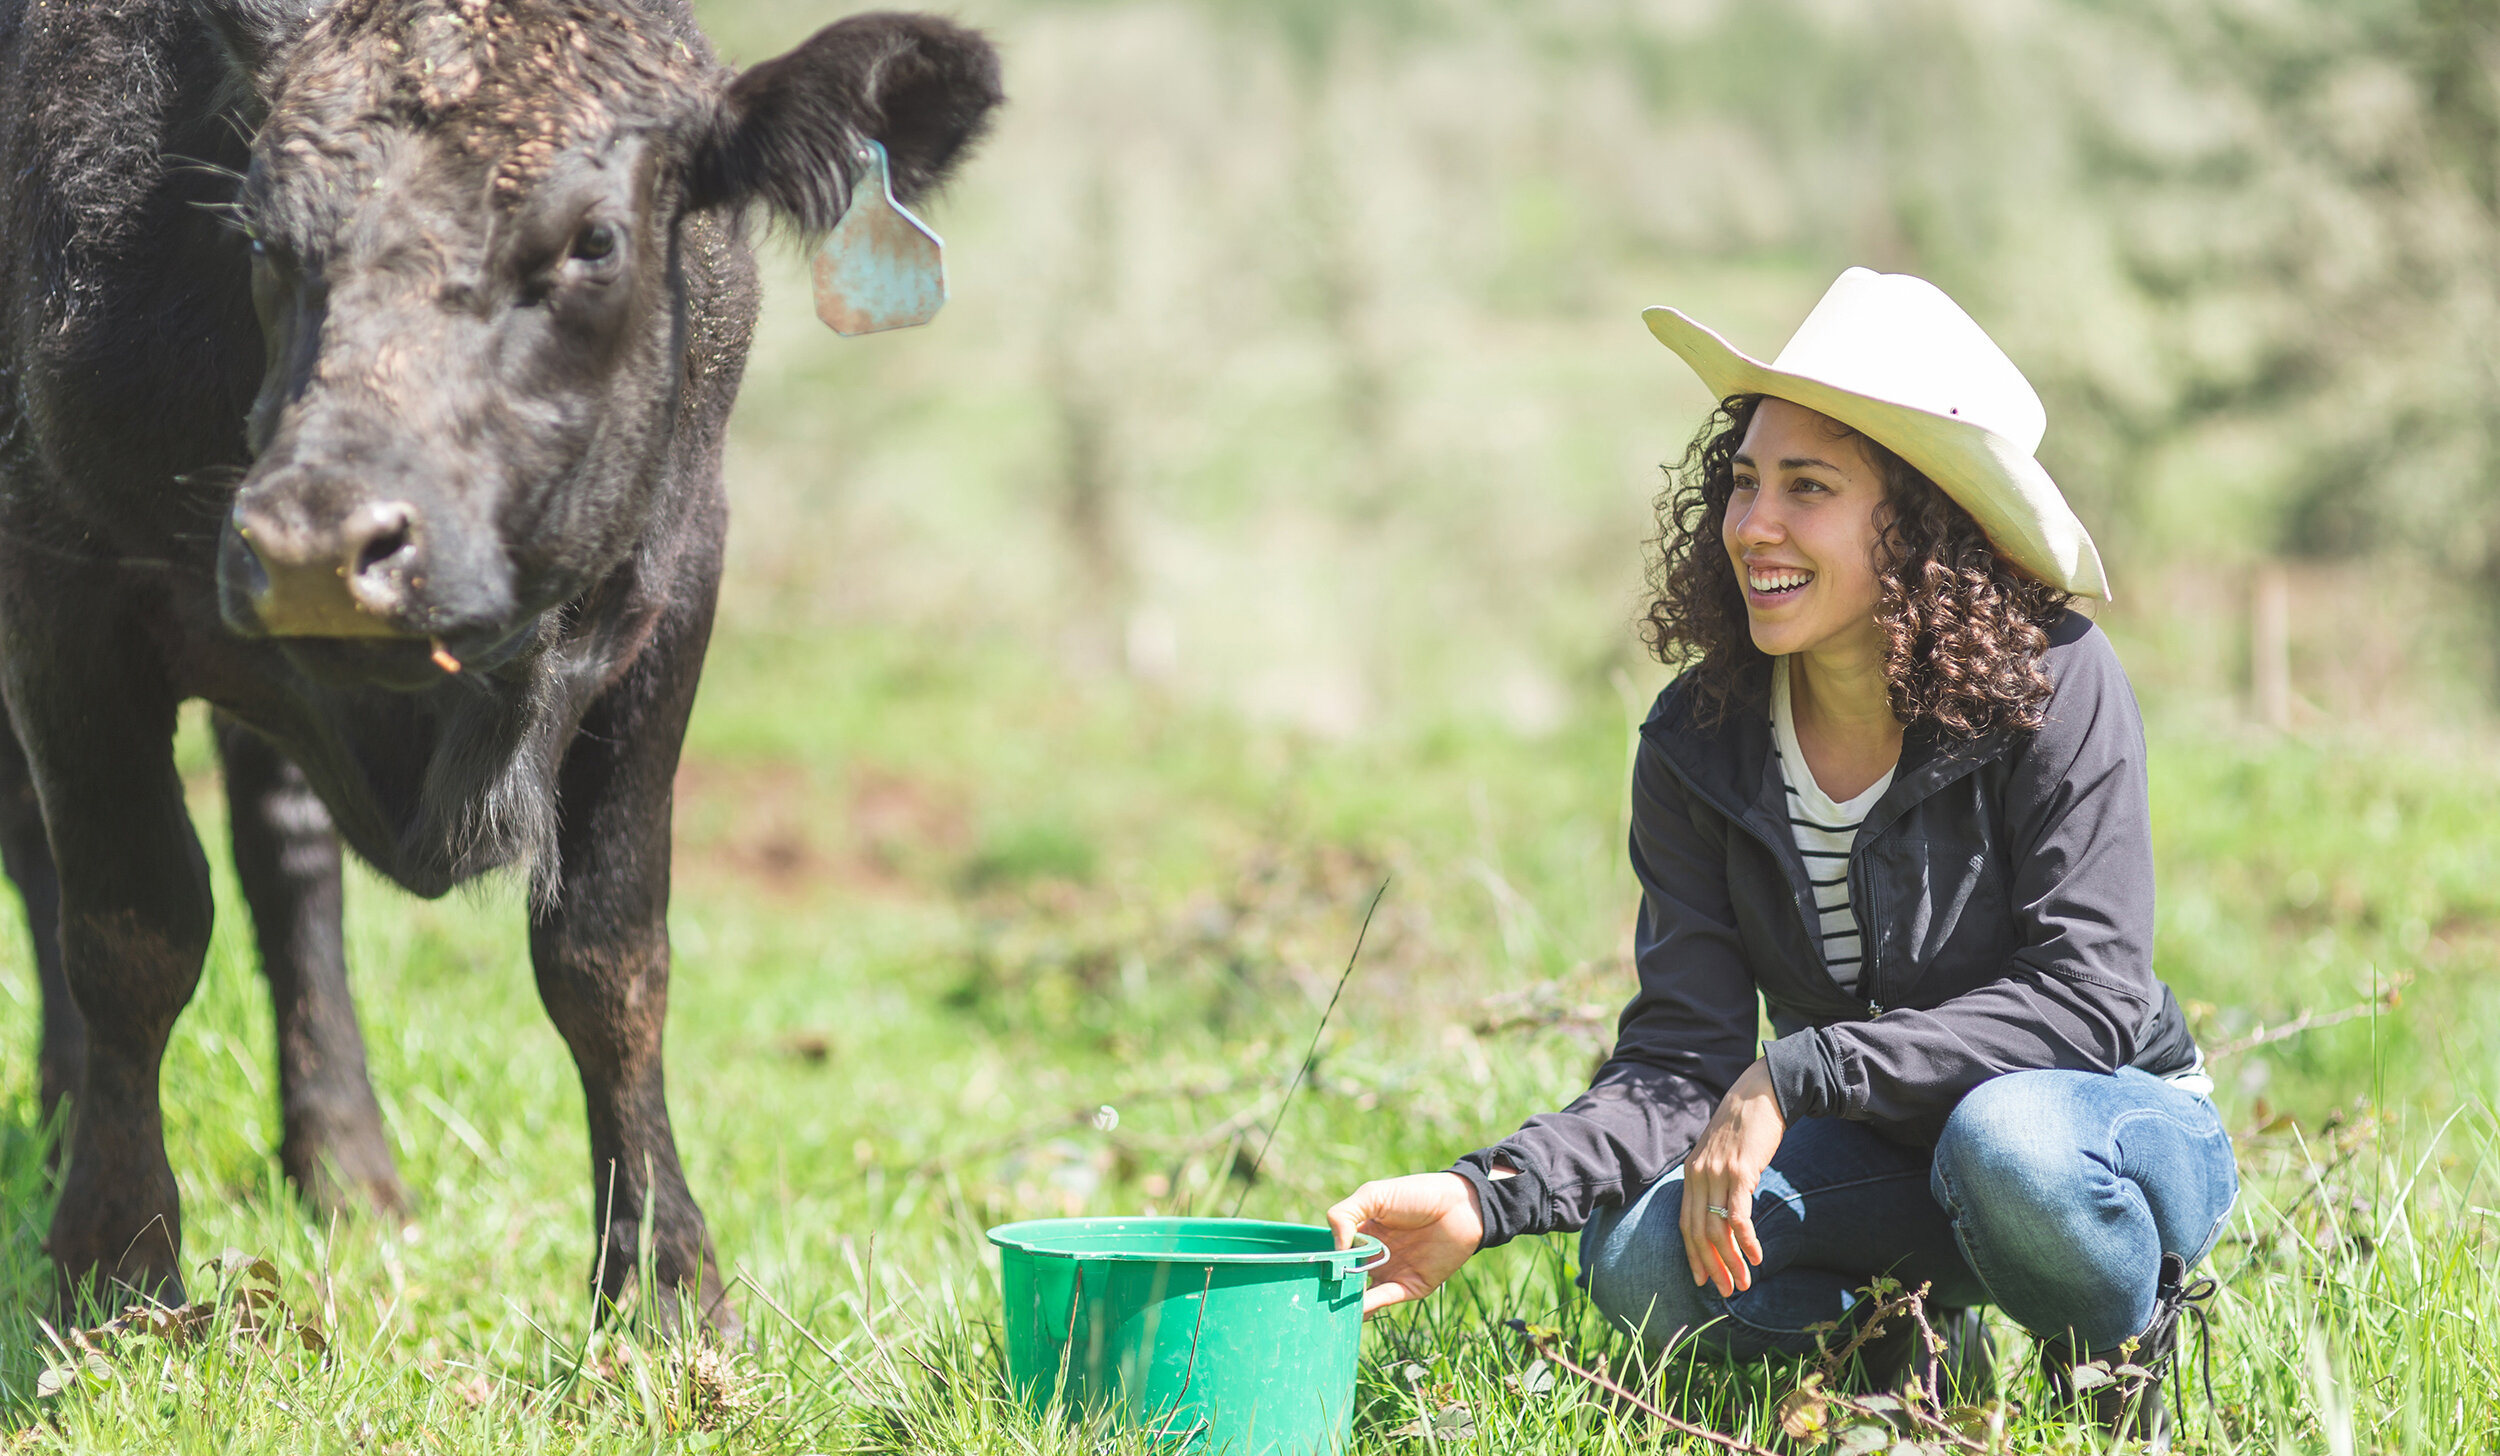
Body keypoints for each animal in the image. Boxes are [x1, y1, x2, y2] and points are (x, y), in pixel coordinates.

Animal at [0, 0, 995, 1330]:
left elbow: (608, 953)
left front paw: (664, 1281)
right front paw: (114, 1264)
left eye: (593, 241)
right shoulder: (57, 579)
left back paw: (345, 1165)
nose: (315, 543)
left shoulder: (676, 575)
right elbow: (131, 923)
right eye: (258, 229)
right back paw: (66, 1121)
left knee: (286, 851)